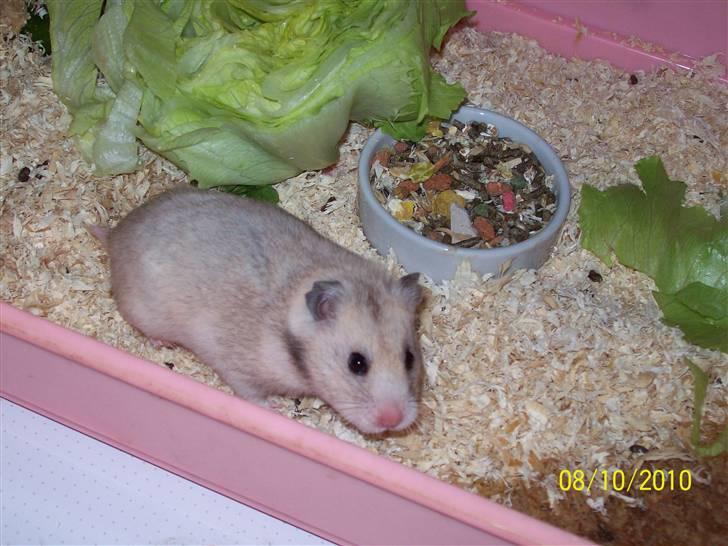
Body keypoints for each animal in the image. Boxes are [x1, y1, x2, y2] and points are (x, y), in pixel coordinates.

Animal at [89, 187, 424, 434]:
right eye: (356, 363)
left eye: (410, 358)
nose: (393, 421)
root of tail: (115, 236)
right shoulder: (237, 366)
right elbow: (251, 394)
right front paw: (277, 410)